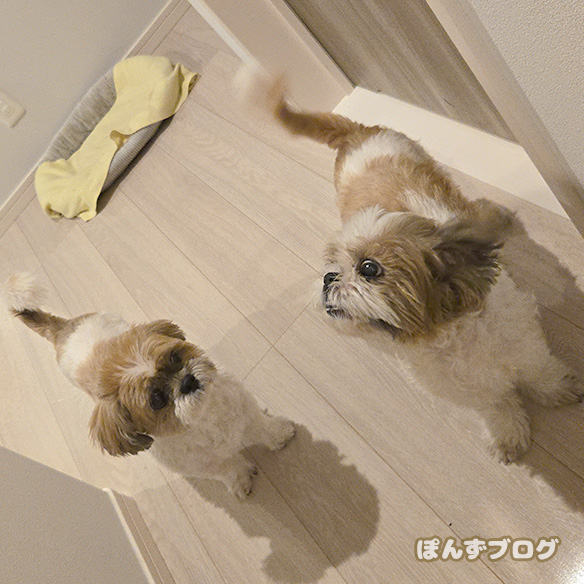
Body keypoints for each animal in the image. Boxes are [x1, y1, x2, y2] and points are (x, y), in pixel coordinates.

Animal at [6, 273, 295, 497]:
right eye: (156, 399)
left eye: (175, 357)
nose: (187, 380)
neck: (203, 420)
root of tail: (64, 328)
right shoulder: (204, 464)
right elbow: (227, 469)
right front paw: (240, 479)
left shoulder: (244, 410)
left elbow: (262, 428)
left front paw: (280, 434)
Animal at [237, 69, 583, 463]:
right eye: (332, 263)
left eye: (369, 269)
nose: (328, 277)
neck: (452, 339)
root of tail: (357, 132)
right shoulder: (466, 390)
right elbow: (495, 404)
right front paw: (508, 430)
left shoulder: (525, 344)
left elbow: (539, 370)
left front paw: (559, 388)